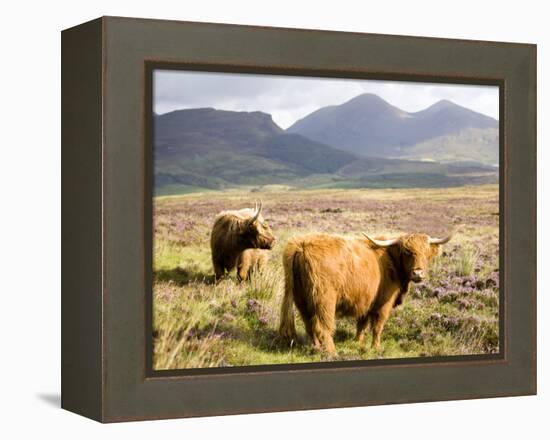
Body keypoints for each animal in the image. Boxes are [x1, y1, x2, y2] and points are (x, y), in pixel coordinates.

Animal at [280, 230, 452, 354]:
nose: (418, 273)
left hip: (301, 299)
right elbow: (377, 326)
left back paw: (315, 348)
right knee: (322, 327)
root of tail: (302, 245)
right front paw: (376, 347)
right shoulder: (383, 304)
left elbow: (361, 324)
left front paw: (358, 342)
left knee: (309, 325)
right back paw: (332, 352)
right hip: (324, 300)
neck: (391, 261)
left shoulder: (365, 301)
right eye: (407, 252)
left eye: (426, 252)